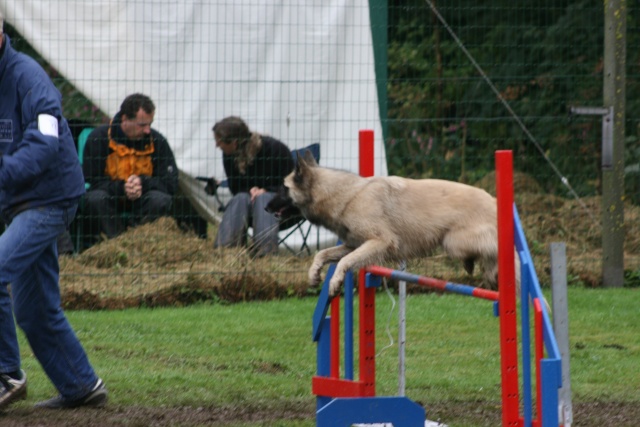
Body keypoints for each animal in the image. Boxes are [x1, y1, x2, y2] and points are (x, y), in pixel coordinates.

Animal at [264, 151, 504, 298]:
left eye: (283, 188)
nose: (265, 207)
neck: (347, 196)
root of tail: (494, 201)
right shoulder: (353, 244)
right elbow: (322, 254)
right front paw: (314, 274)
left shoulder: (379, 242)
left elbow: (345, 262)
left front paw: (335, 282)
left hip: (453, 242)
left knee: (491, 249)